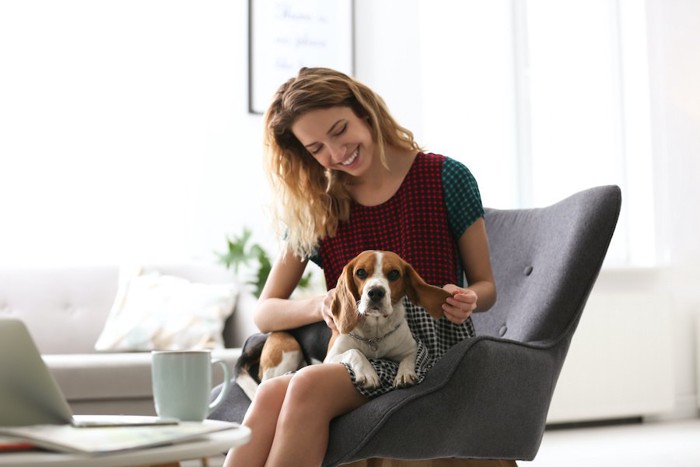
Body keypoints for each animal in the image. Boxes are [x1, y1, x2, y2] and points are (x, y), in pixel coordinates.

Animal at [326, 250, 452, 390]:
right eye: (360, 272)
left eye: (394, 273)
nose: (375, 292)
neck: (375, 333)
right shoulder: (331, 357)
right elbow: (355, 352)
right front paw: (367, 373)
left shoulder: (412, 348)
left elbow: (409, 359)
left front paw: (404, 374)